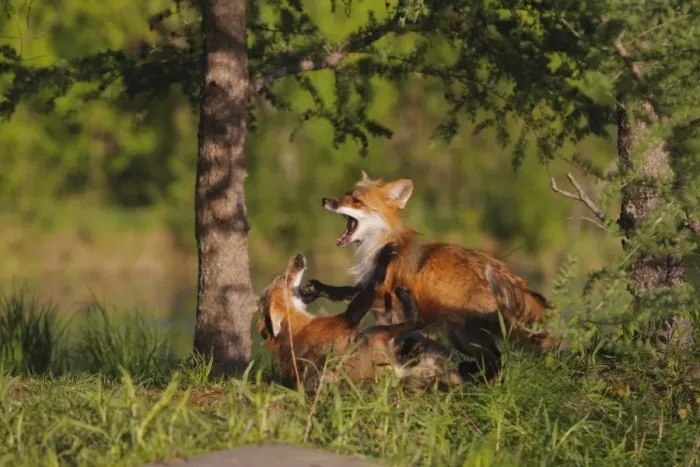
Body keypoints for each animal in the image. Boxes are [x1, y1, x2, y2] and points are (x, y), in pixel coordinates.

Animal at [256, 245, 464, 392]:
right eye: (284, 278)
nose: (298, 257)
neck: (299, 327)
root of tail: (396, 375)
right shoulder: (347, 320)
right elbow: (373, 283)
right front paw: (384, 256)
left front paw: (318, 288)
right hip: (373, 334)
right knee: (416, 321)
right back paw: (404, 298)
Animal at [299, 170, 566, 380]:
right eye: (346, 194)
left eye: (356, 201)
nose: (325, 200)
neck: (377, 246)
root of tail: (512, 277)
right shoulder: (374, 294)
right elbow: (344, 292)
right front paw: (314, 289)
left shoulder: (386, 297)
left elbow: (358, 301)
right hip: (465, 337)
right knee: (495, 359)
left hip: (464, 337)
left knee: (496, 362)